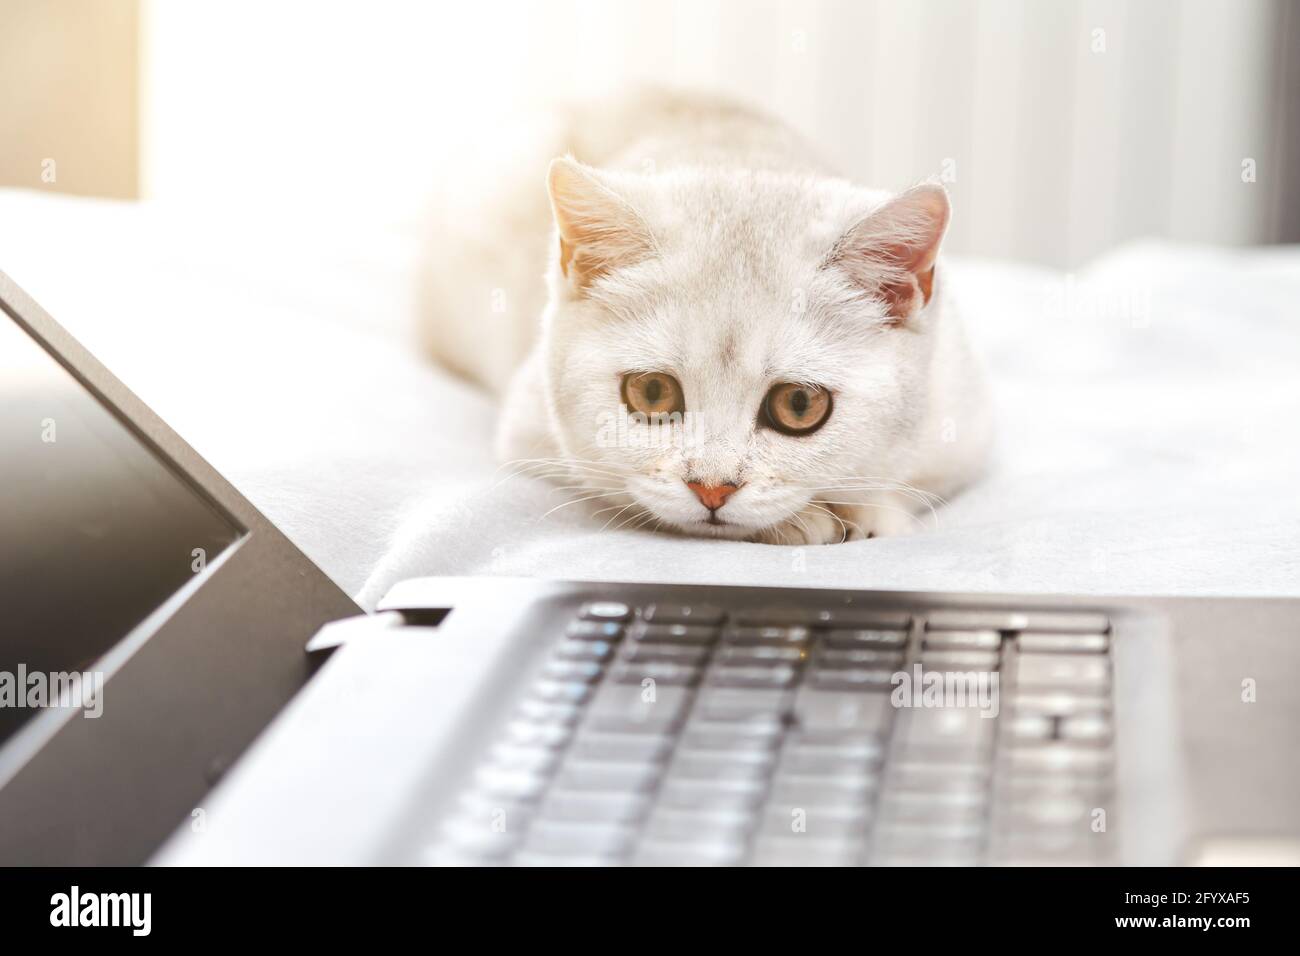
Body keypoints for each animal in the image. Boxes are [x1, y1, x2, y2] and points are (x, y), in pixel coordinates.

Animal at [421, 89, 987, 546]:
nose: (711, 488)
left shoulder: (961, 430)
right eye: (652, 393)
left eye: (799, 404)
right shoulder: (527, 429)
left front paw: (871, 513)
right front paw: (805, 522)